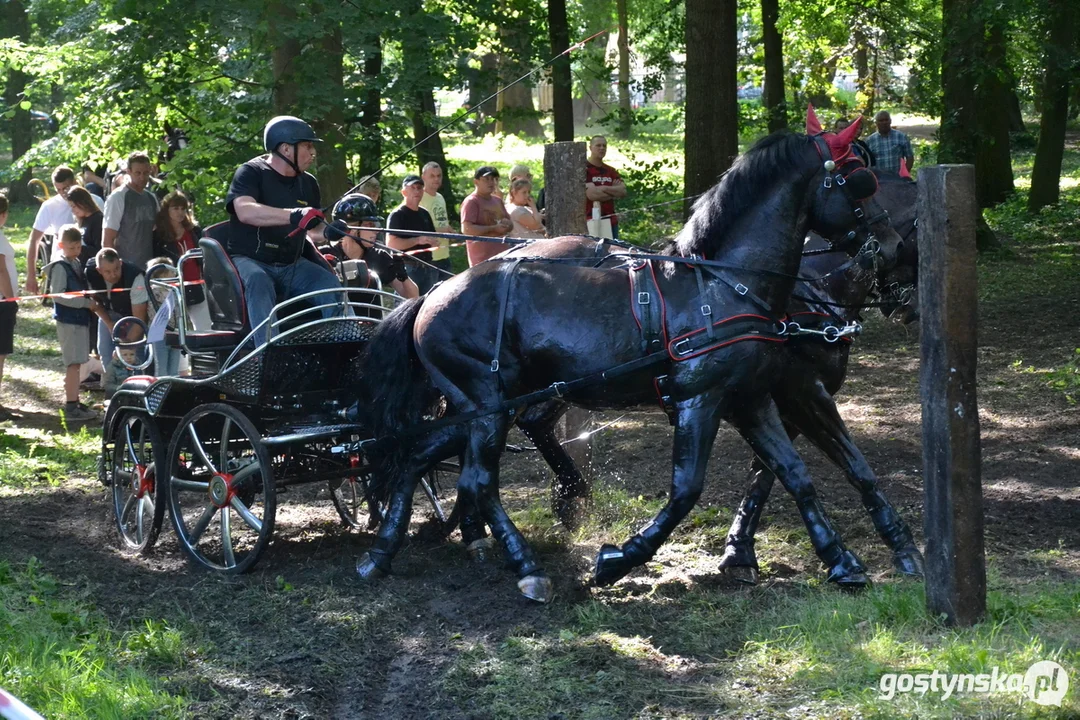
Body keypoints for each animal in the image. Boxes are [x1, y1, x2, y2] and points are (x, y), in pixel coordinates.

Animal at [358, 117, 898, 604]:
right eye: (860, 180)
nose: (891, 245)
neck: (723, 284)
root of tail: (432, 293)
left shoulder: (749, 397)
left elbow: (794, 475)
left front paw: (842, 561)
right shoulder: (700, 399)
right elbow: (686, 489)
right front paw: (618, 560)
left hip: (479, 407)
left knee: (418, 456)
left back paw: (382, 553)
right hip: (487, 404)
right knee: (478, 480)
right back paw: (526, 567)